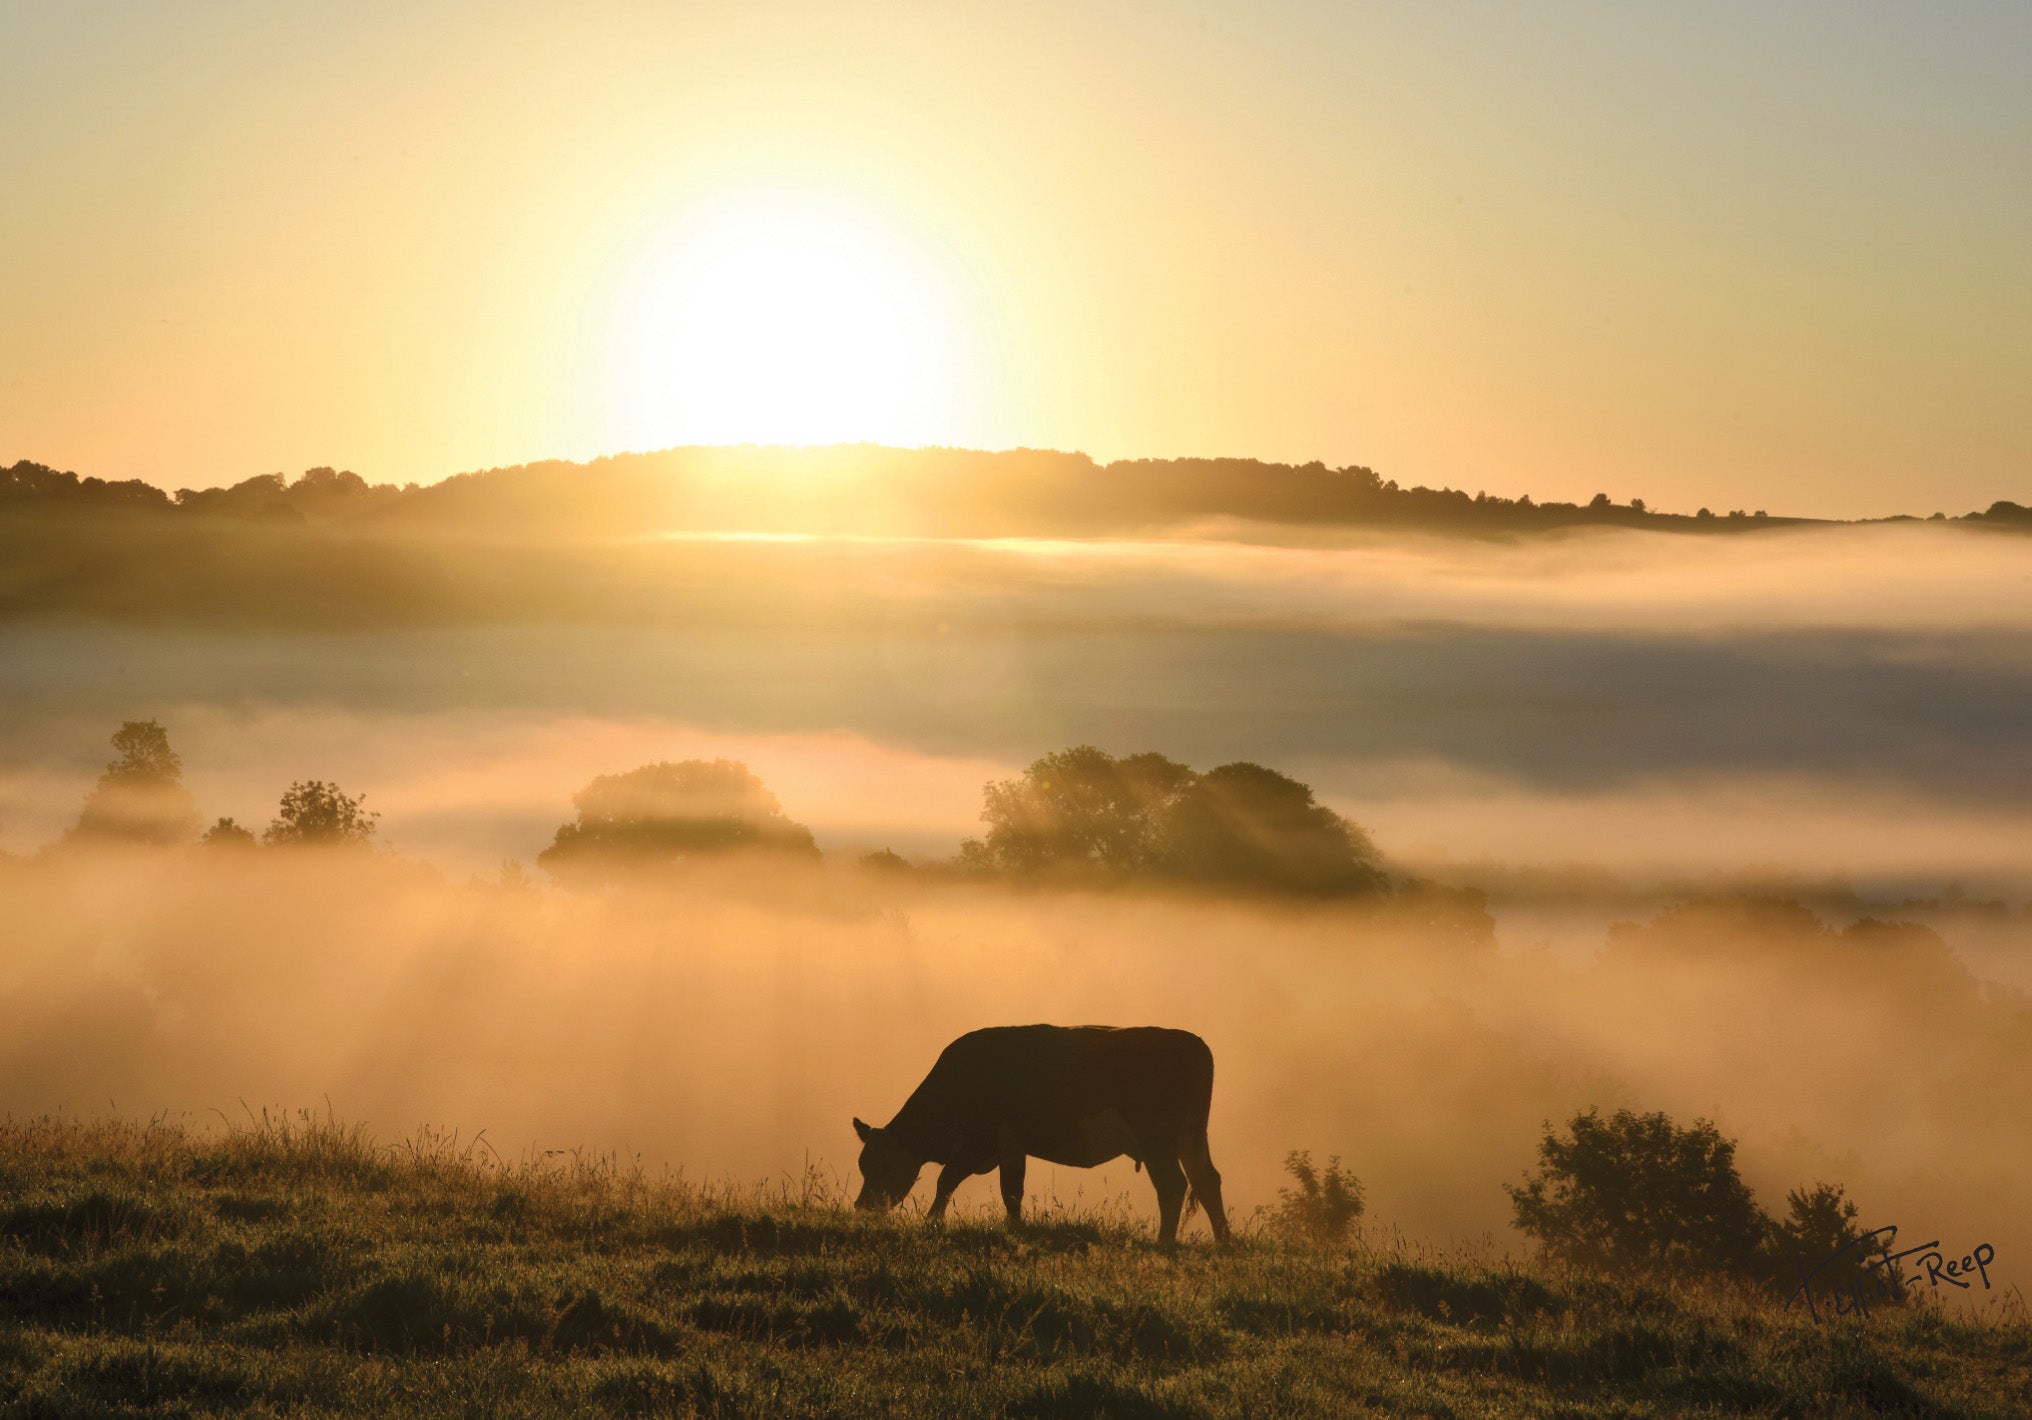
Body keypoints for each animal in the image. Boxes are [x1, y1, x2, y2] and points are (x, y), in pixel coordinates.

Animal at [849, 1023, 1227, 1243]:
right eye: (862, 1167)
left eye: (884, 1166)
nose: (862, 1206)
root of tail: (1193, 1042)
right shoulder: (1011, 1148)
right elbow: (1012, 1193)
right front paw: (1015, 1230)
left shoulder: (979, 1142)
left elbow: (947, 1179)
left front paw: (931, 1222)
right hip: (1192, 1135)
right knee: (1207, 1179)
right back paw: (1224, 1241)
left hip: (1157, 1139)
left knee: (1173, 1185)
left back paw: (1165, 1246)